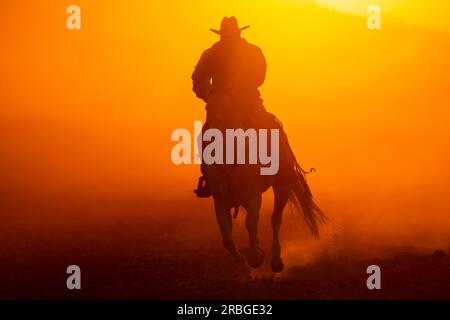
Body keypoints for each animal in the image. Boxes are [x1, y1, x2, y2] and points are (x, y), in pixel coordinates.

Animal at [202, 90, 326, 272]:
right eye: (207, 108)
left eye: (228, 108)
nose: (212, 137)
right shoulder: (220, 201)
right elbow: (226, 238)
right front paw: (244, 257)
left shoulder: (253, 196)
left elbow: (250, 223)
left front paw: (256, 257)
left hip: (282, 187)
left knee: (275, 221)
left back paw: (276, 260)